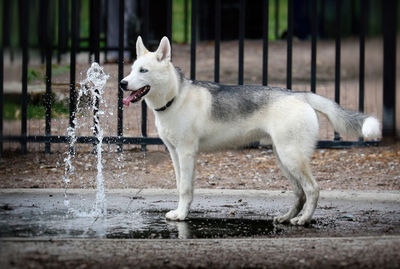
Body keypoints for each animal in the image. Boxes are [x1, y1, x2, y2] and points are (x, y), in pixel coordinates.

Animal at [120, 35, 380, 224]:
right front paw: (180, 212)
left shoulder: (186, 153)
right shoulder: (175, 154)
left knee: (313, 189)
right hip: (283, 159)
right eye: (132, 69)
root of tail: (300, 94)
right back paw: (286, 218)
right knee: (299, 193)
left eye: (143, 70)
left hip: (291, 158)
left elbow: (185, 188)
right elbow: (181, 185)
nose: (122, 83)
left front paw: (182, 216)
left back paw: (304, 220)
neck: (174, 99)